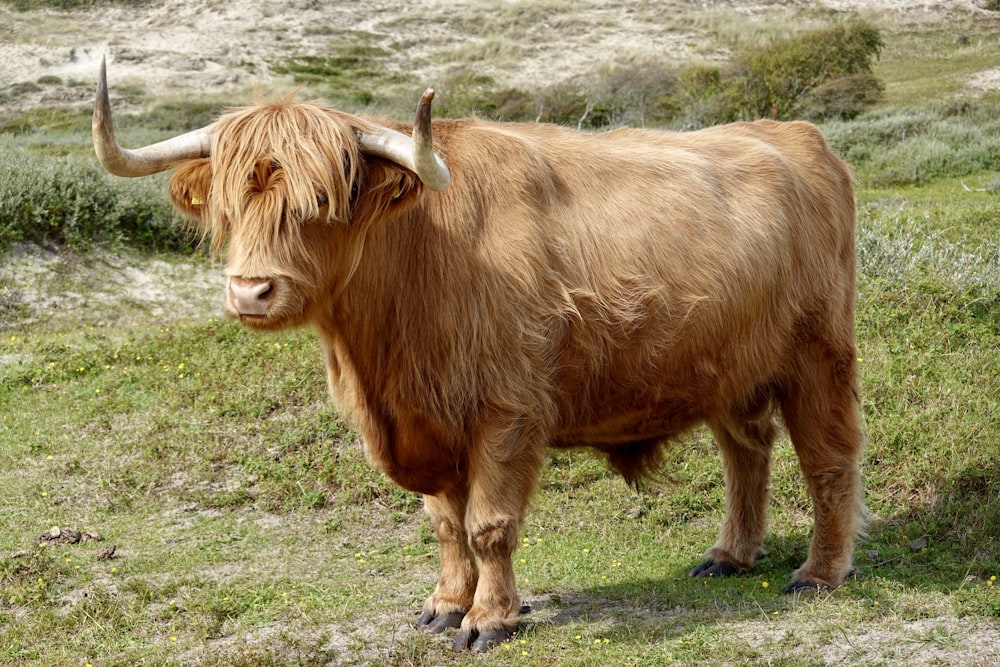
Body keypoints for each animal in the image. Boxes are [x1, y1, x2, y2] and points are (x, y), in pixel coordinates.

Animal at [92, 60, 860, 656]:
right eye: (227, 207)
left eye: (322, 202)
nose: (251, 290)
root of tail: (792, 133)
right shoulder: (427, 418)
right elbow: (445, 523)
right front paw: (443, 604)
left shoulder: (506, 410)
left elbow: (488, 524)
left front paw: (489, 617)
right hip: (729, 366)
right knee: (746, 450)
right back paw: (729, 556)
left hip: (819, 354)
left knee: (828, 460)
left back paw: (819, 573)